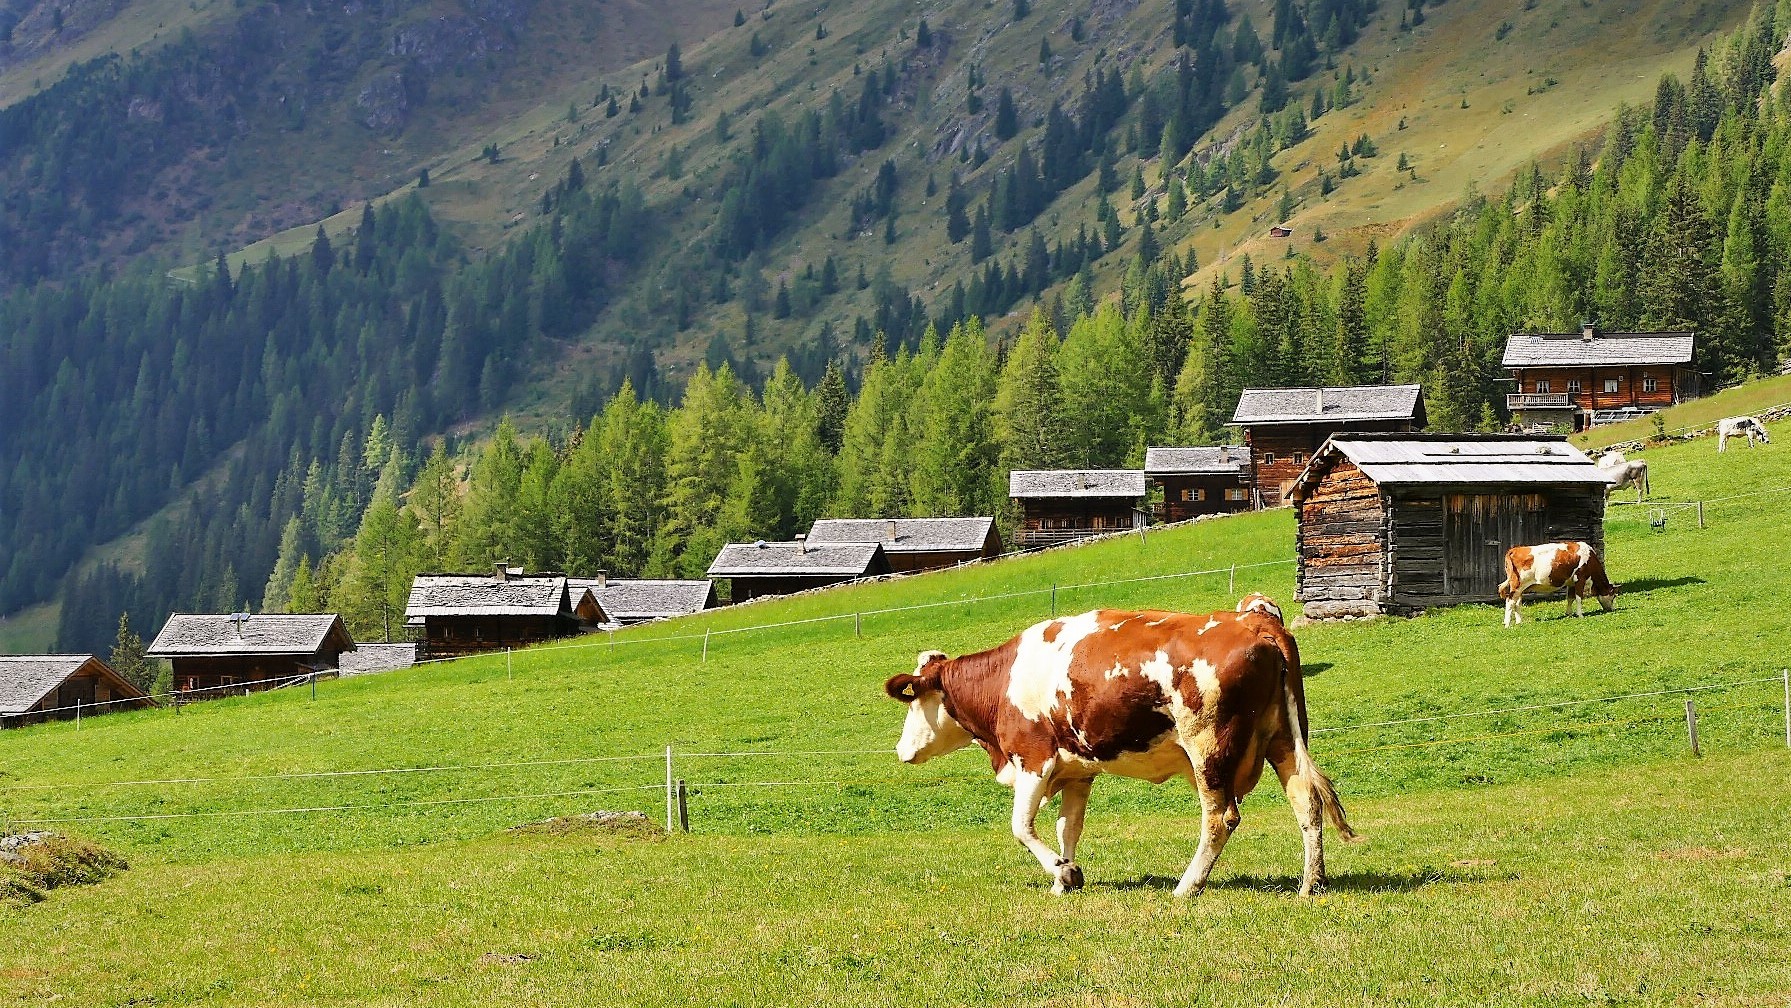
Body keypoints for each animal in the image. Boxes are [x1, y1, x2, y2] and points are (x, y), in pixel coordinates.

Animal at [881, 608, 1353, 898]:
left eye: (912, 702)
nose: (901, 749)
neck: (1005, 681)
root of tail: (1254, 622)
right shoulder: (1076, 771)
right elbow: (1067, 828)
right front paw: (1064, 880)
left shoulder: (1035, 759)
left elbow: (1021, 827)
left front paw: (1063, 871)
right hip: (1283, 739)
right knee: (1307, 803)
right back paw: (1310, 885)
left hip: (1209, 748)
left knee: (1221, 818)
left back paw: (1187, 886)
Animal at [1490, 540, 1619, 626]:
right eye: (1613, 596)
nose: (1611, 609)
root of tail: (1514, 549)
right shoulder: (1580, 578)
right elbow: (1578, 598)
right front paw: (1580, 615)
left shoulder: (1571, 582)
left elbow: (1570, 598)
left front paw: (1569, 614)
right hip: (1517, 585)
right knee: (1510, 601)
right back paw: (1507, 624)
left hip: (1519, 588)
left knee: (1517, 603)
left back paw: (1519, 621)